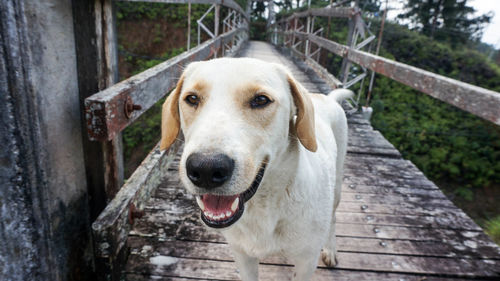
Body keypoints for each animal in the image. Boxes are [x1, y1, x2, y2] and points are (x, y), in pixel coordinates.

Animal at [161, 58, 352, 278]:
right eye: (192, 98)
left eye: (261, 100)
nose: (206, 169)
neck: (262, 205)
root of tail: (328, 99)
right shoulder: (243, 256)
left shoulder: (306, 261)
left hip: (337, 186)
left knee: (333, 218)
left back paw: (330, 250)